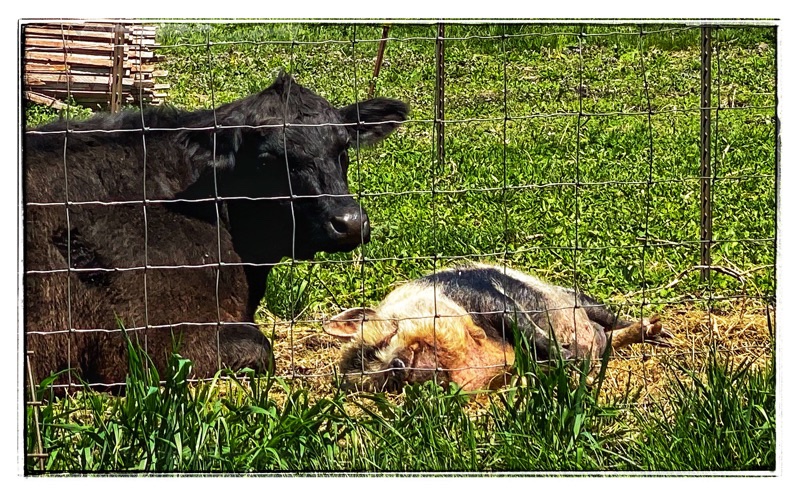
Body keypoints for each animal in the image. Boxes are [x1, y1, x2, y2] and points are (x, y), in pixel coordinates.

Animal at [323, 263, 672, 393]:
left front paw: (569, 358)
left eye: (390, 333)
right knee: (609, 339)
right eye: (381, 380)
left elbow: (524, 327)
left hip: (577, 299)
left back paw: (659, 332)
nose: (395, 365)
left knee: (608, 317)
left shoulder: (484, 298)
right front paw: (569, 364)